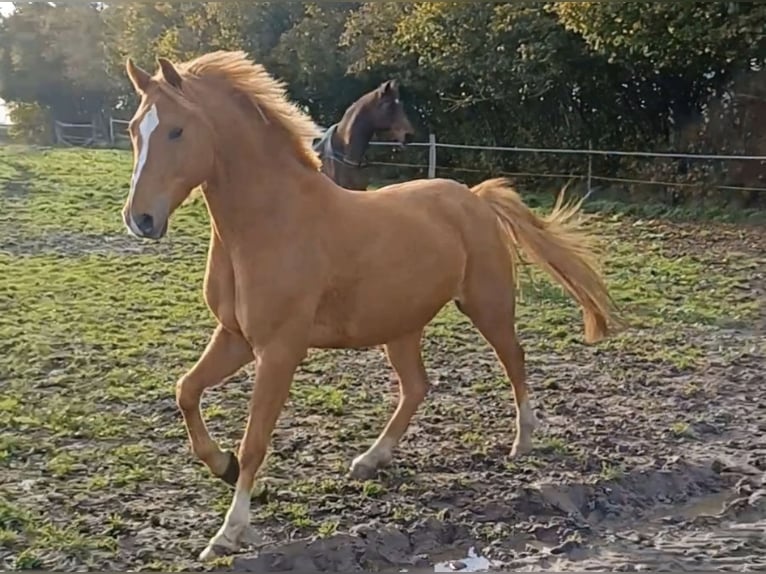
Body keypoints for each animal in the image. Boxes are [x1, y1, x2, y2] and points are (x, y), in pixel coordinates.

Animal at [121, 50, 624, 561]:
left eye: (177, 130)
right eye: (135, 128)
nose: (140, 219)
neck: (272, 222)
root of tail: (475, 197)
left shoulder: (279, 350)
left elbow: (255, 440)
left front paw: (228, 532)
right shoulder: (236, 337)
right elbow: (186, 391)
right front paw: (222, 465)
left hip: (488, 305)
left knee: (514, 360)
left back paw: (522, 441)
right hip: (401, 326)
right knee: (417, 386)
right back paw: (370, 460)